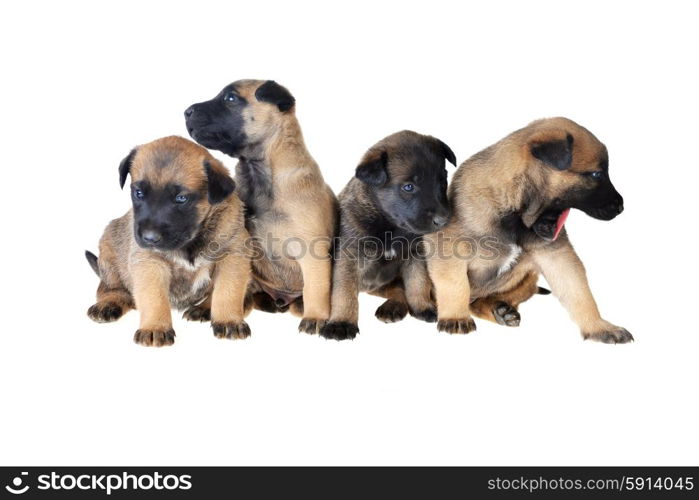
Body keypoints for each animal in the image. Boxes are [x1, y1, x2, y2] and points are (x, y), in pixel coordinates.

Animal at [86, 137, 253, 348]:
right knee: (111, 289)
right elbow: (154, 297)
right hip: (108, 250)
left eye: (181, 198)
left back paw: (204, 308)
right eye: (138, 193)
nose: (149, 238)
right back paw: (107, 304)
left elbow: (227, 291)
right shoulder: (150, 262)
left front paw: (229, 320)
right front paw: (155, 327)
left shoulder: (233, 256)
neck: (191, 242)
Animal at [185, 80, 338, 334]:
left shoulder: (312, 253)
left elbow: (315, 288)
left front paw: (315, 317)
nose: (186, 112)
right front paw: (209, 307)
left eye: (230, 99)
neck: (258, 174)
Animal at [320, 130, 456, 340]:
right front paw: (341, 322)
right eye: (408, 187)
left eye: (443, 181)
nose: (443, 220)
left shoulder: (415, 255)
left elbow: (418, 282)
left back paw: (393, 307)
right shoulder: (348, 258)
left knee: (399, 289)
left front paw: (422, 307)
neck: (390, 227)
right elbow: (344, 292)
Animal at [426, 117, 636, 344]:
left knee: (480, 302)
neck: (514, 210)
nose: (621, 207)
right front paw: (455, 318)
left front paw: (599, 327)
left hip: (528, 278)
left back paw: (500, 311)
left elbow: (579, 293)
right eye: (597, 174)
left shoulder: (557, 256)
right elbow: (455, 286)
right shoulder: (449, 250)